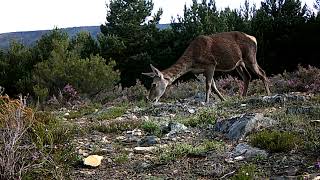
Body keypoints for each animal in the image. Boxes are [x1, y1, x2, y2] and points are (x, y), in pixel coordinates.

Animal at [142, 31, 270, 102]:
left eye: (153, 84)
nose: (149, 99)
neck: (192, 62)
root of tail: (254, 38)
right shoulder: (200, 71)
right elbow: (213, 86)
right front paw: (223, 99)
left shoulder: (211, 64)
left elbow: (208, 85)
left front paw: (206, 101)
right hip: (239, 63)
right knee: (247, 76)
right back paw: (243, 96)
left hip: (250, 56)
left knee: (262, 72)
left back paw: (268, 93)